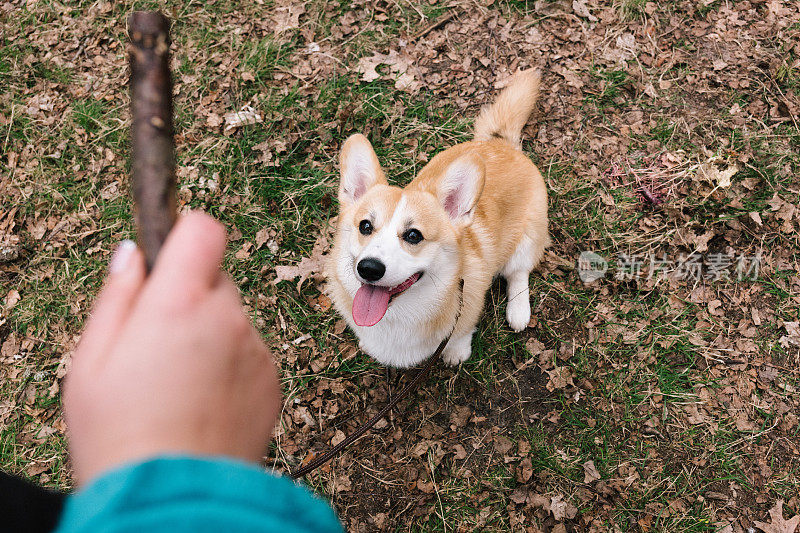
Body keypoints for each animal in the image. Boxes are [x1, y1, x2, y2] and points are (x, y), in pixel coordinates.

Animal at [324, 69, 552, 366]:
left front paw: (456, 353)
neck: (398, 316)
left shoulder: (469, 307)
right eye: (365, 226)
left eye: (413, 235)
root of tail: (501, 143)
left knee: (519, 272)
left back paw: (518, 311)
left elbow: (461, 333)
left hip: (528, 236)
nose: (369, 268)